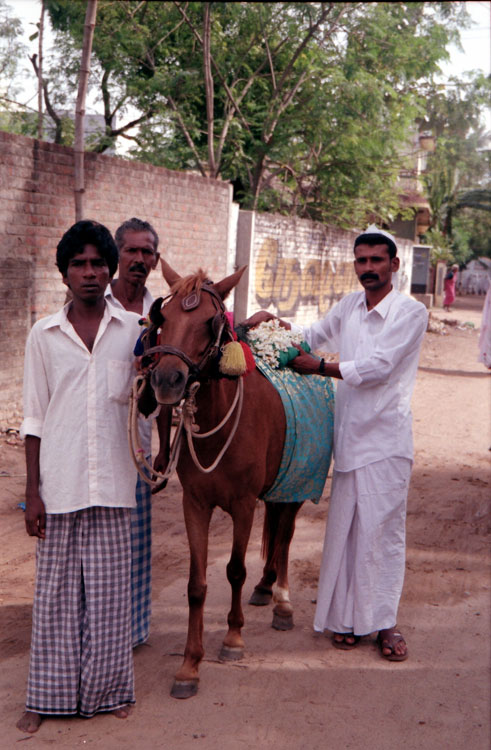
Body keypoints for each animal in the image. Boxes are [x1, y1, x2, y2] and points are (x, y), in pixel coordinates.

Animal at [138, 262, 318, 700]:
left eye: (210, 320)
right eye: (164, 318)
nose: (167, 380)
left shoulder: (243, 505)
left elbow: (235, 570)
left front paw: (233, 638)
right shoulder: (195, 504)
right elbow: (196, 584)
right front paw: (189, 665)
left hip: (295, 486)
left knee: (285, 537)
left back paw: (282, 599)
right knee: (277, 534)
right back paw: (266, 586)